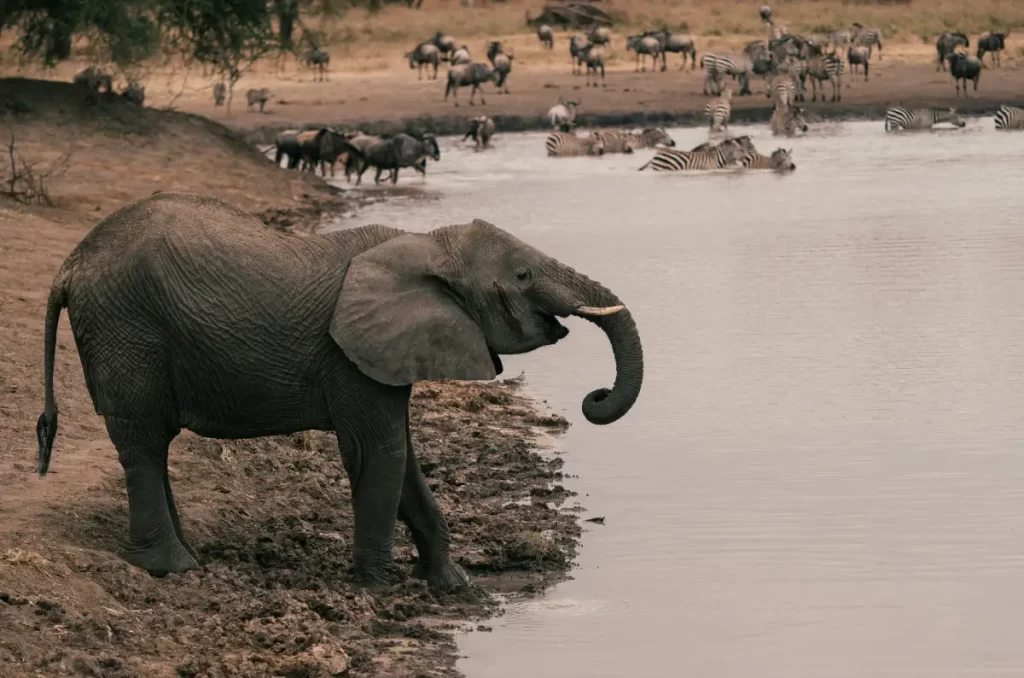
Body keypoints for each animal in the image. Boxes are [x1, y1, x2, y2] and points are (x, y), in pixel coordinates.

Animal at [36, 192, 643, 594]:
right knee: (143, 442)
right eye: (521, 276)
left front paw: (452, 585)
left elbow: (404, 457)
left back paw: (187, 558)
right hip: (125, 329)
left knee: (151, 446)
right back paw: (171, 569)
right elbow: (380, 454)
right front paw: (380, 590)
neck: (428, 243)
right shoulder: (350, 356)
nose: (593, 397)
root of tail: (69, 265)